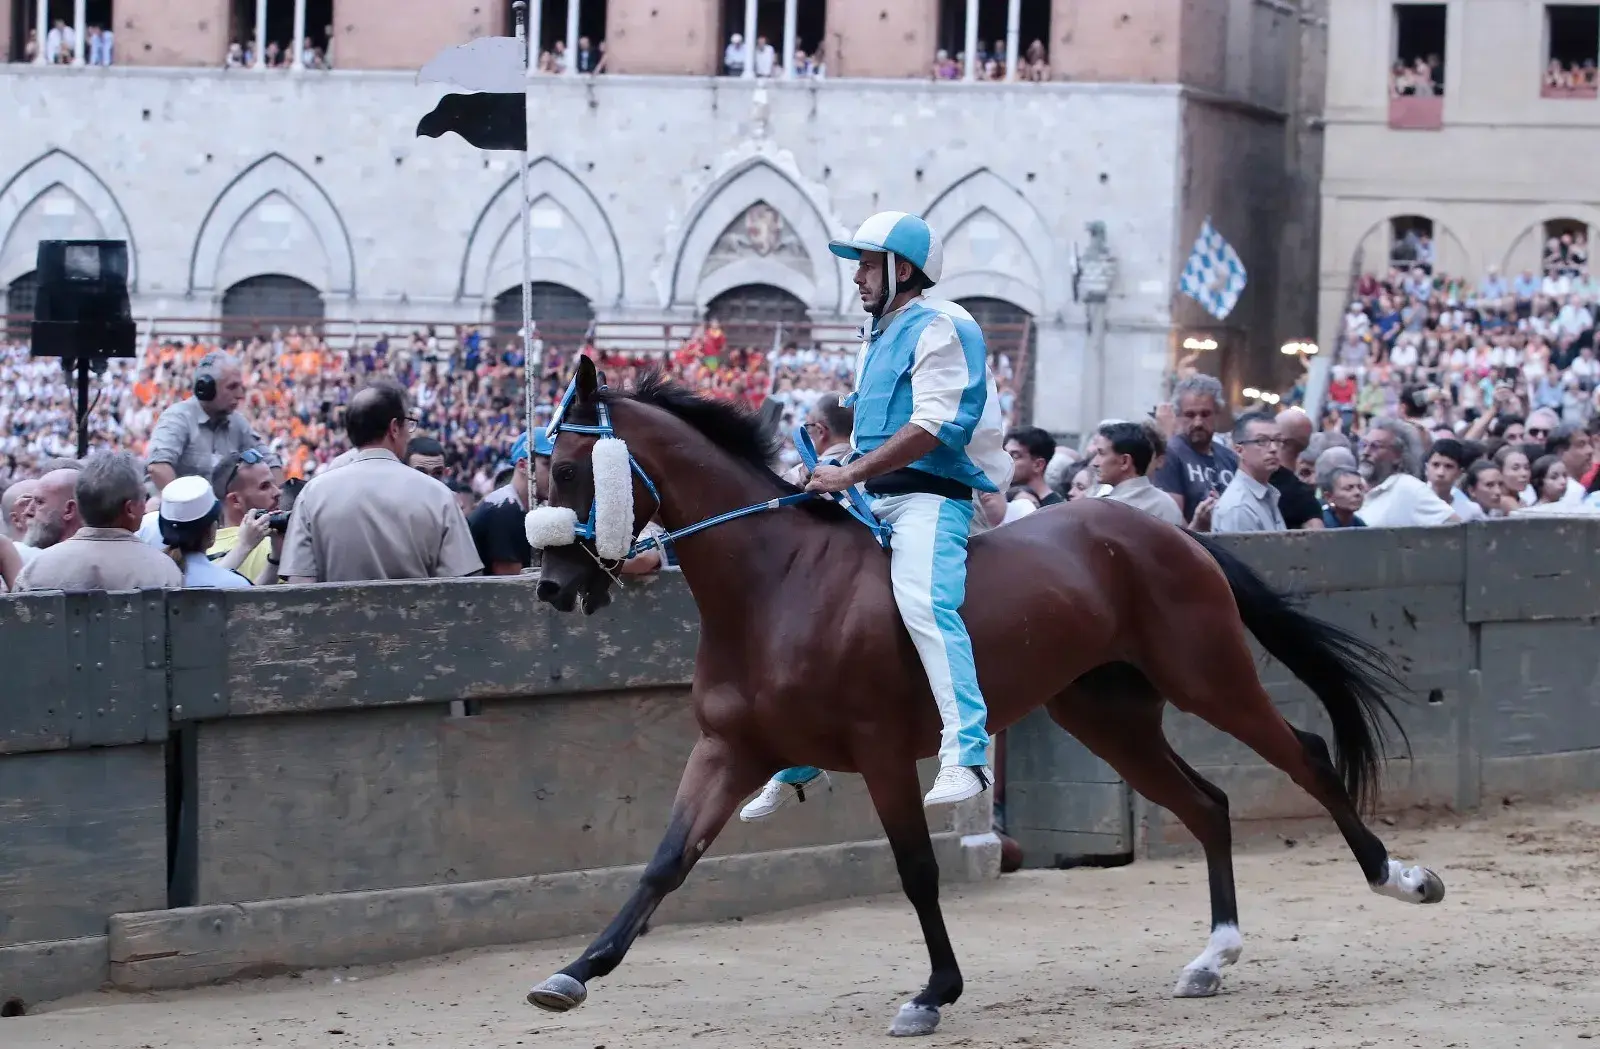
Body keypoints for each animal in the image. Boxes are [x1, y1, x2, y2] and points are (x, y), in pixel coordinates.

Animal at [524, 358, 1452, 1029]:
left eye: (568, 468)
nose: (555, 587)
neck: (777, 582)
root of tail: (1164, 530)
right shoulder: (731, 749)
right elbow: (665, 861)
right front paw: (574, 971)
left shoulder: (882, 753)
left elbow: (917, 869)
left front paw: (934, 990)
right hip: (1108, 716)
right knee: (1209, 804)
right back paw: (1212, 956)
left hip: (1209, 676)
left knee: (1308, 757)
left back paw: (1399, 877)